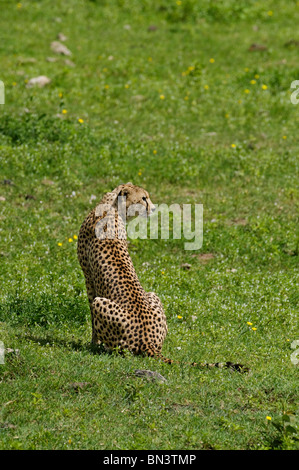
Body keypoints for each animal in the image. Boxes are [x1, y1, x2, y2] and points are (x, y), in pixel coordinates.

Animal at [77, 183, 248, 370]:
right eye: (143, 198)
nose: (153, 208)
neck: (112, 206)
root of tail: (148, 342)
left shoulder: (88, 278)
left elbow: (92, 320)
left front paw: (93, 344)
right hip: (153, 295)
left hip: (100, 304)